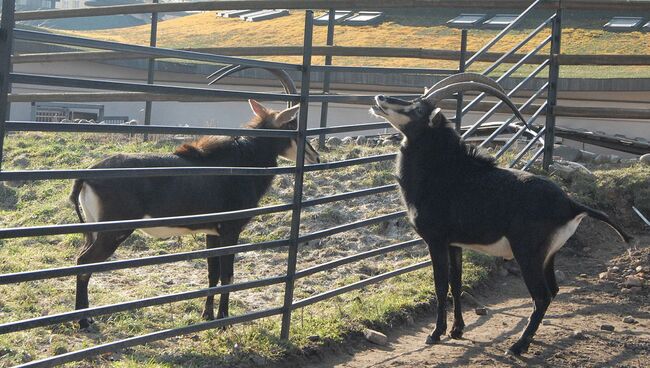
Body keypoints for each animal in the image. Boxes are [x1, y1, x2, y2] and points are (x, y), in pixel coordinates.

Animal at [71, 100, 318, 328]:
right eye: (292, 124)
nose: (315, 156)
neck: (243, 161)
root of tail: (89, 173)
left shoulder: (213, 233)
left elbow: (213, 273)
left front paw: (207, 315)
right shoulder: (230, 231)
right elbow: (227, 274)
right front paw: (224, 319)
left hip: (95, 231)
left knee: (82, 261)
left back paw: (86, 317)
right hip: (113, 232)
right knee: (84, 263)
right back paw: (83, 321)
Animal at [370, 73, 628, 356]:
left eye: (417, 109)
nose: (380, 97)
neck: (443, 170)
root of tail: (571, 204)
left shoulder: (436, 241)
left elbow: (440, 286)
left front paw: (436, 333)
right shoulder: (454, 243)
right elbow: (456, 283)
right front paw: (457, 330)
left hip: (527, 255)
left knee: (542, 295)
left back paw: (518, 346)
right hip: (548, 256)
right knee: (553, 290)